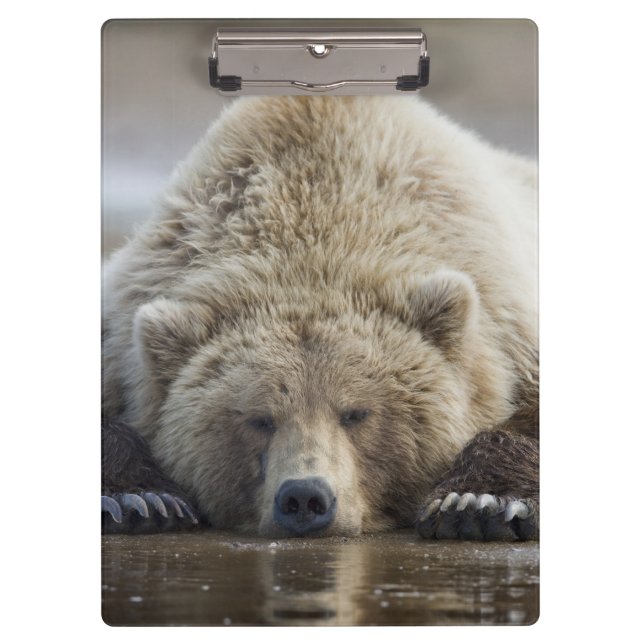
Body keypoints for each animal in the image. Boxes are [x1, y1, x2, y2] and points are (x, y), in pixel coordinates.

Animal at [102, 95, 538, 540]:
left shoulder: (508, 316)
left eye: (357, 413)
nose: (304, 497)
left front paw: (477, 503)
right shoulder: (126, 319)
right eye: (259, 419)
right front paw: (140, 500)